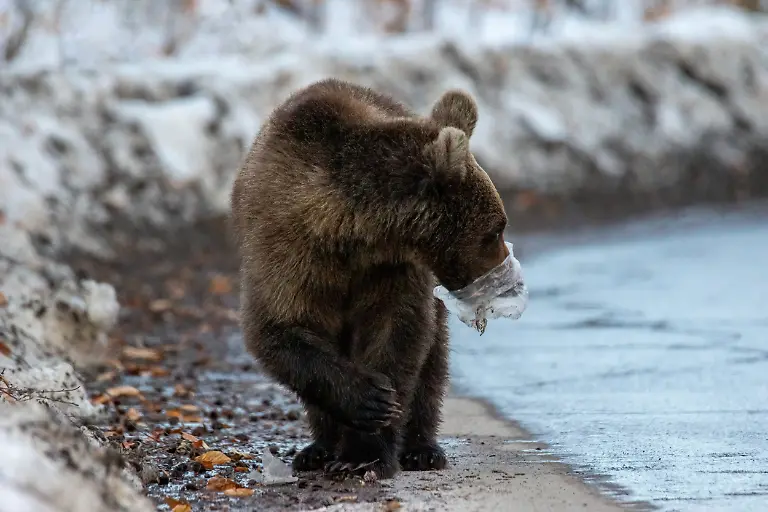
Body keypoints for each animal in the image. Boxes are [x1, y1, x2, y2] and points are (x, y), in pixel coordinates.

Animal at [230, 77, 510, 479]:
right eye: (495, 230)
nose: (502, 272)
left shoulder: (390, 272)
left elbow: (397, 335)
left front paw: (365, 453)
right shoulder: (287, 251)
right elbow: (280, 328)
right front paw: (369, 401)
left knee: (434, 361)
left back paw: (423, 449)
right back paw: (317, 450)